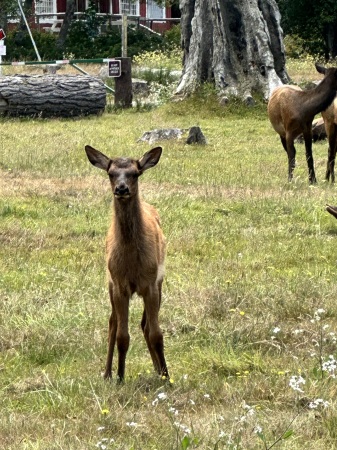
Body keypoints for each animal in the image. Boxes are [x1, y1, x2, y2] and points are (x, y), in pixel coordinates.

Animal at [84, 144, 168, 380]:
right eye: (111, 173)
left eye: (135, 173)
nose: (121, 189)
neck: (132, 261)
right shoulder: (120, 284)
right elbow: (122, 336)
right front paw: (120, 377)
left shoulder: (151, 283)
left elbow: (156, 333)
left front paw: (166, 376)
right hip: (110, 283)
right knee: (113, 322)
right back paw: (107, 374)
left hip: (160, 282)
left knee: (145, 324)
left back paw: (159, 369)